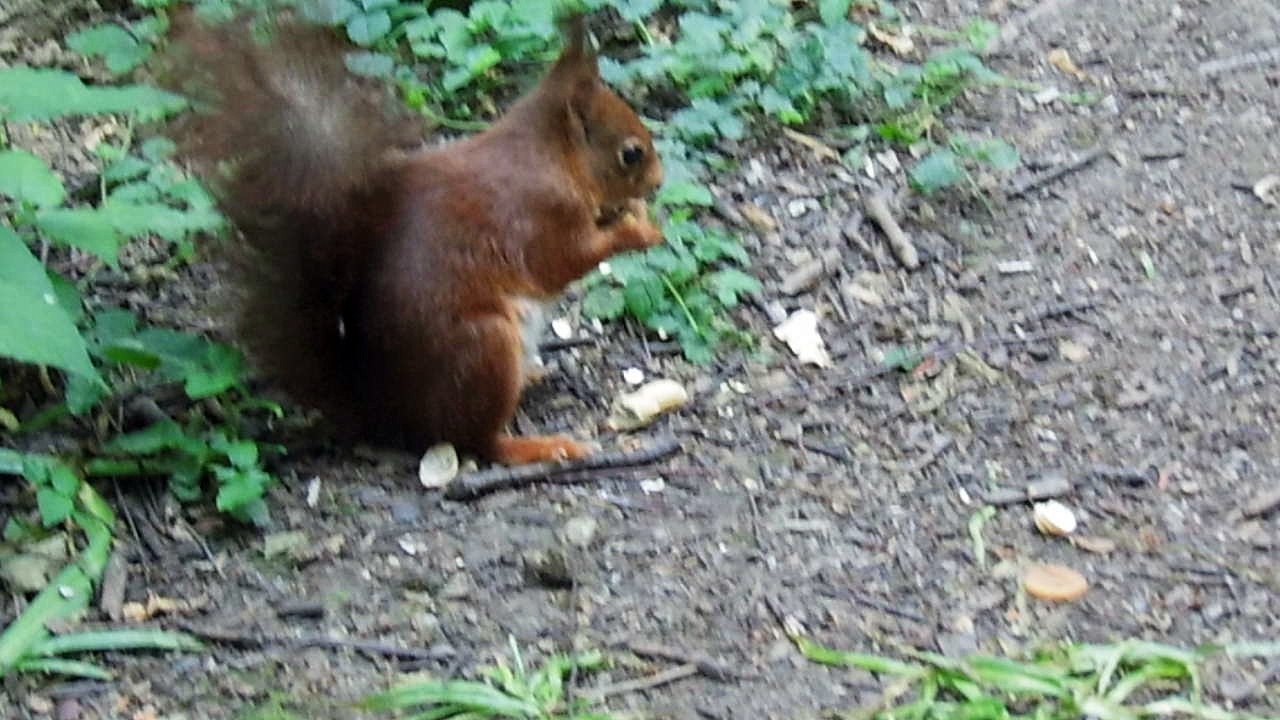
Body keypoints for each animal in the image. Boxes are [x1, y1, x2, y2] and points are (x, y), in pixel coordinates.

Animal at [160, 13, 664, 465]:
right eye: (631, 154)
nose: (659, 182)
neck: (553, 155)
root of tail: (382, 411)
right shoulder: (537, 214)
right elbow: (564, 260)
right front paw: (640, 230)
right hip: (483, 349)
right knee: (477, 442)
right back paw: (541, 446)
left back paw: (533, 378)